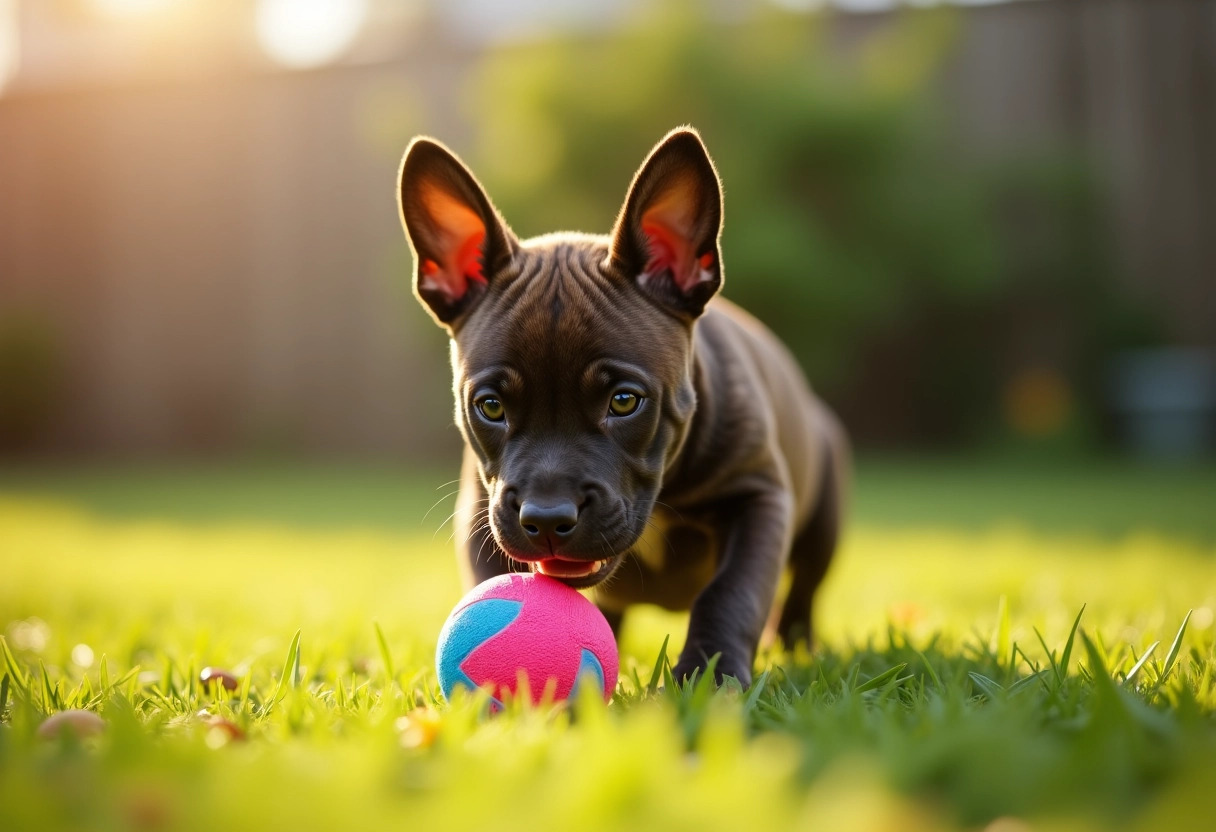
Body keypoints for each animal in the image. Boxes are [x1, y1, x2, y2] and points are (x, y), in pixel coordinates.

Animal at [398, 126, 846, 686]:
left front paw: (710, 675)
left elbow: (732, 591)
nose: (547, 518)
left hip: (824, 519)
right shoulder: (482, 514)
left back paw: (796, 643)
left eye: (625, 401)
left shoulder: (759, 497)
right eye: (491, 408)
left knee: (805, 586)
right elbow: (489, 579)